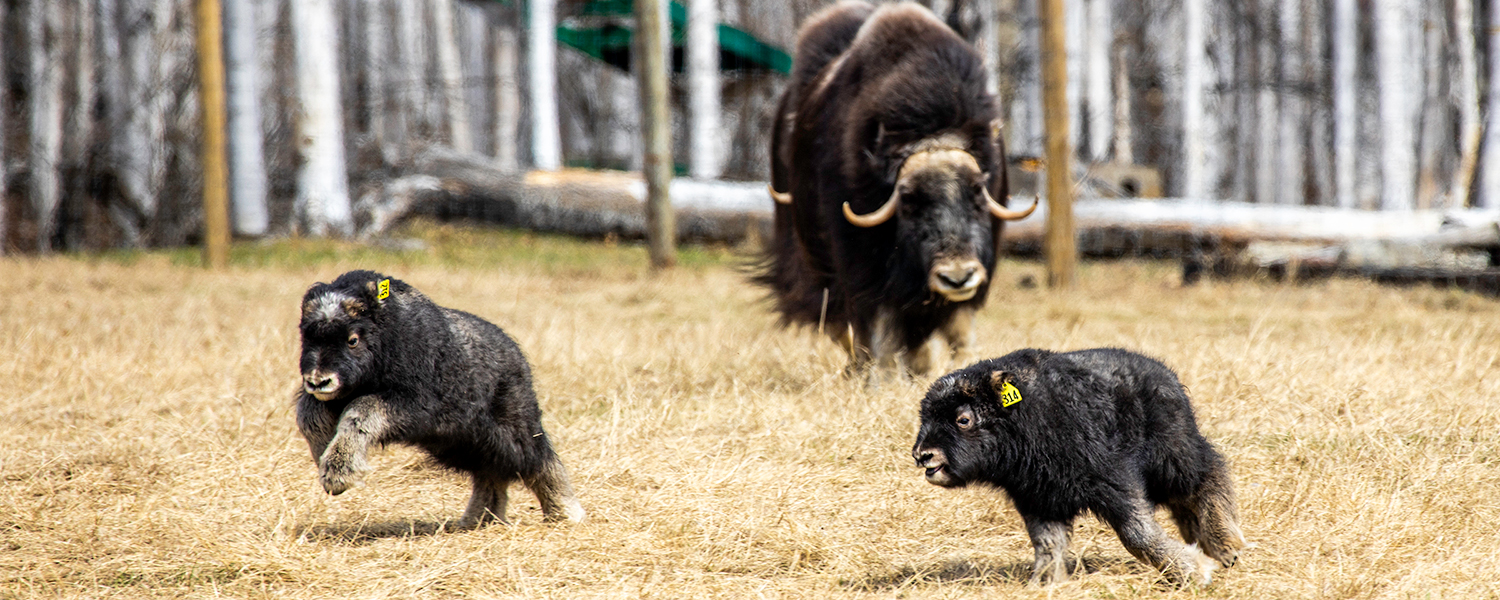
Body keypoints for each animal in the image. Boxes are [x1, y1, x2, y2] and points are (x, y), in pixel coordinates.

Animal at [295, 270, 582, 528]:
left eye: (352, 339)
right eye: (306, 337)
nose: (318, 381)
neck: (387, 337)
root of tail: (517, 355)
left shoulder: (411, 403)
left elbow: (362, 409)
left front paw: (338, 476)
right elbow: (308, 415)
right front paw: (323, 455)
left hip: (513, 429)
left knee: (537, 460)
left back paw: (565, 514)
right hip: (464, 444)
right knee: (490, 473)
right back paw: (479, 520)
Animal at [912, 346, 1242, 585]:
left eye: (963, 419)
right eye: (925, 416)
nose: (922, 455)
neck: (1027, 417)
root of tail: (1164, 373)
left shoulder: (1114, 481)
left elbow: (1137, 534)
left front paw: (1194, 571)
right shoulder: (1040, 500)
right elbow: (1048, 543)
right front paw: (1045, 584)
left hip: (1173, 457)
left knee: (1210, 475)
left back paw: (1227, 546)